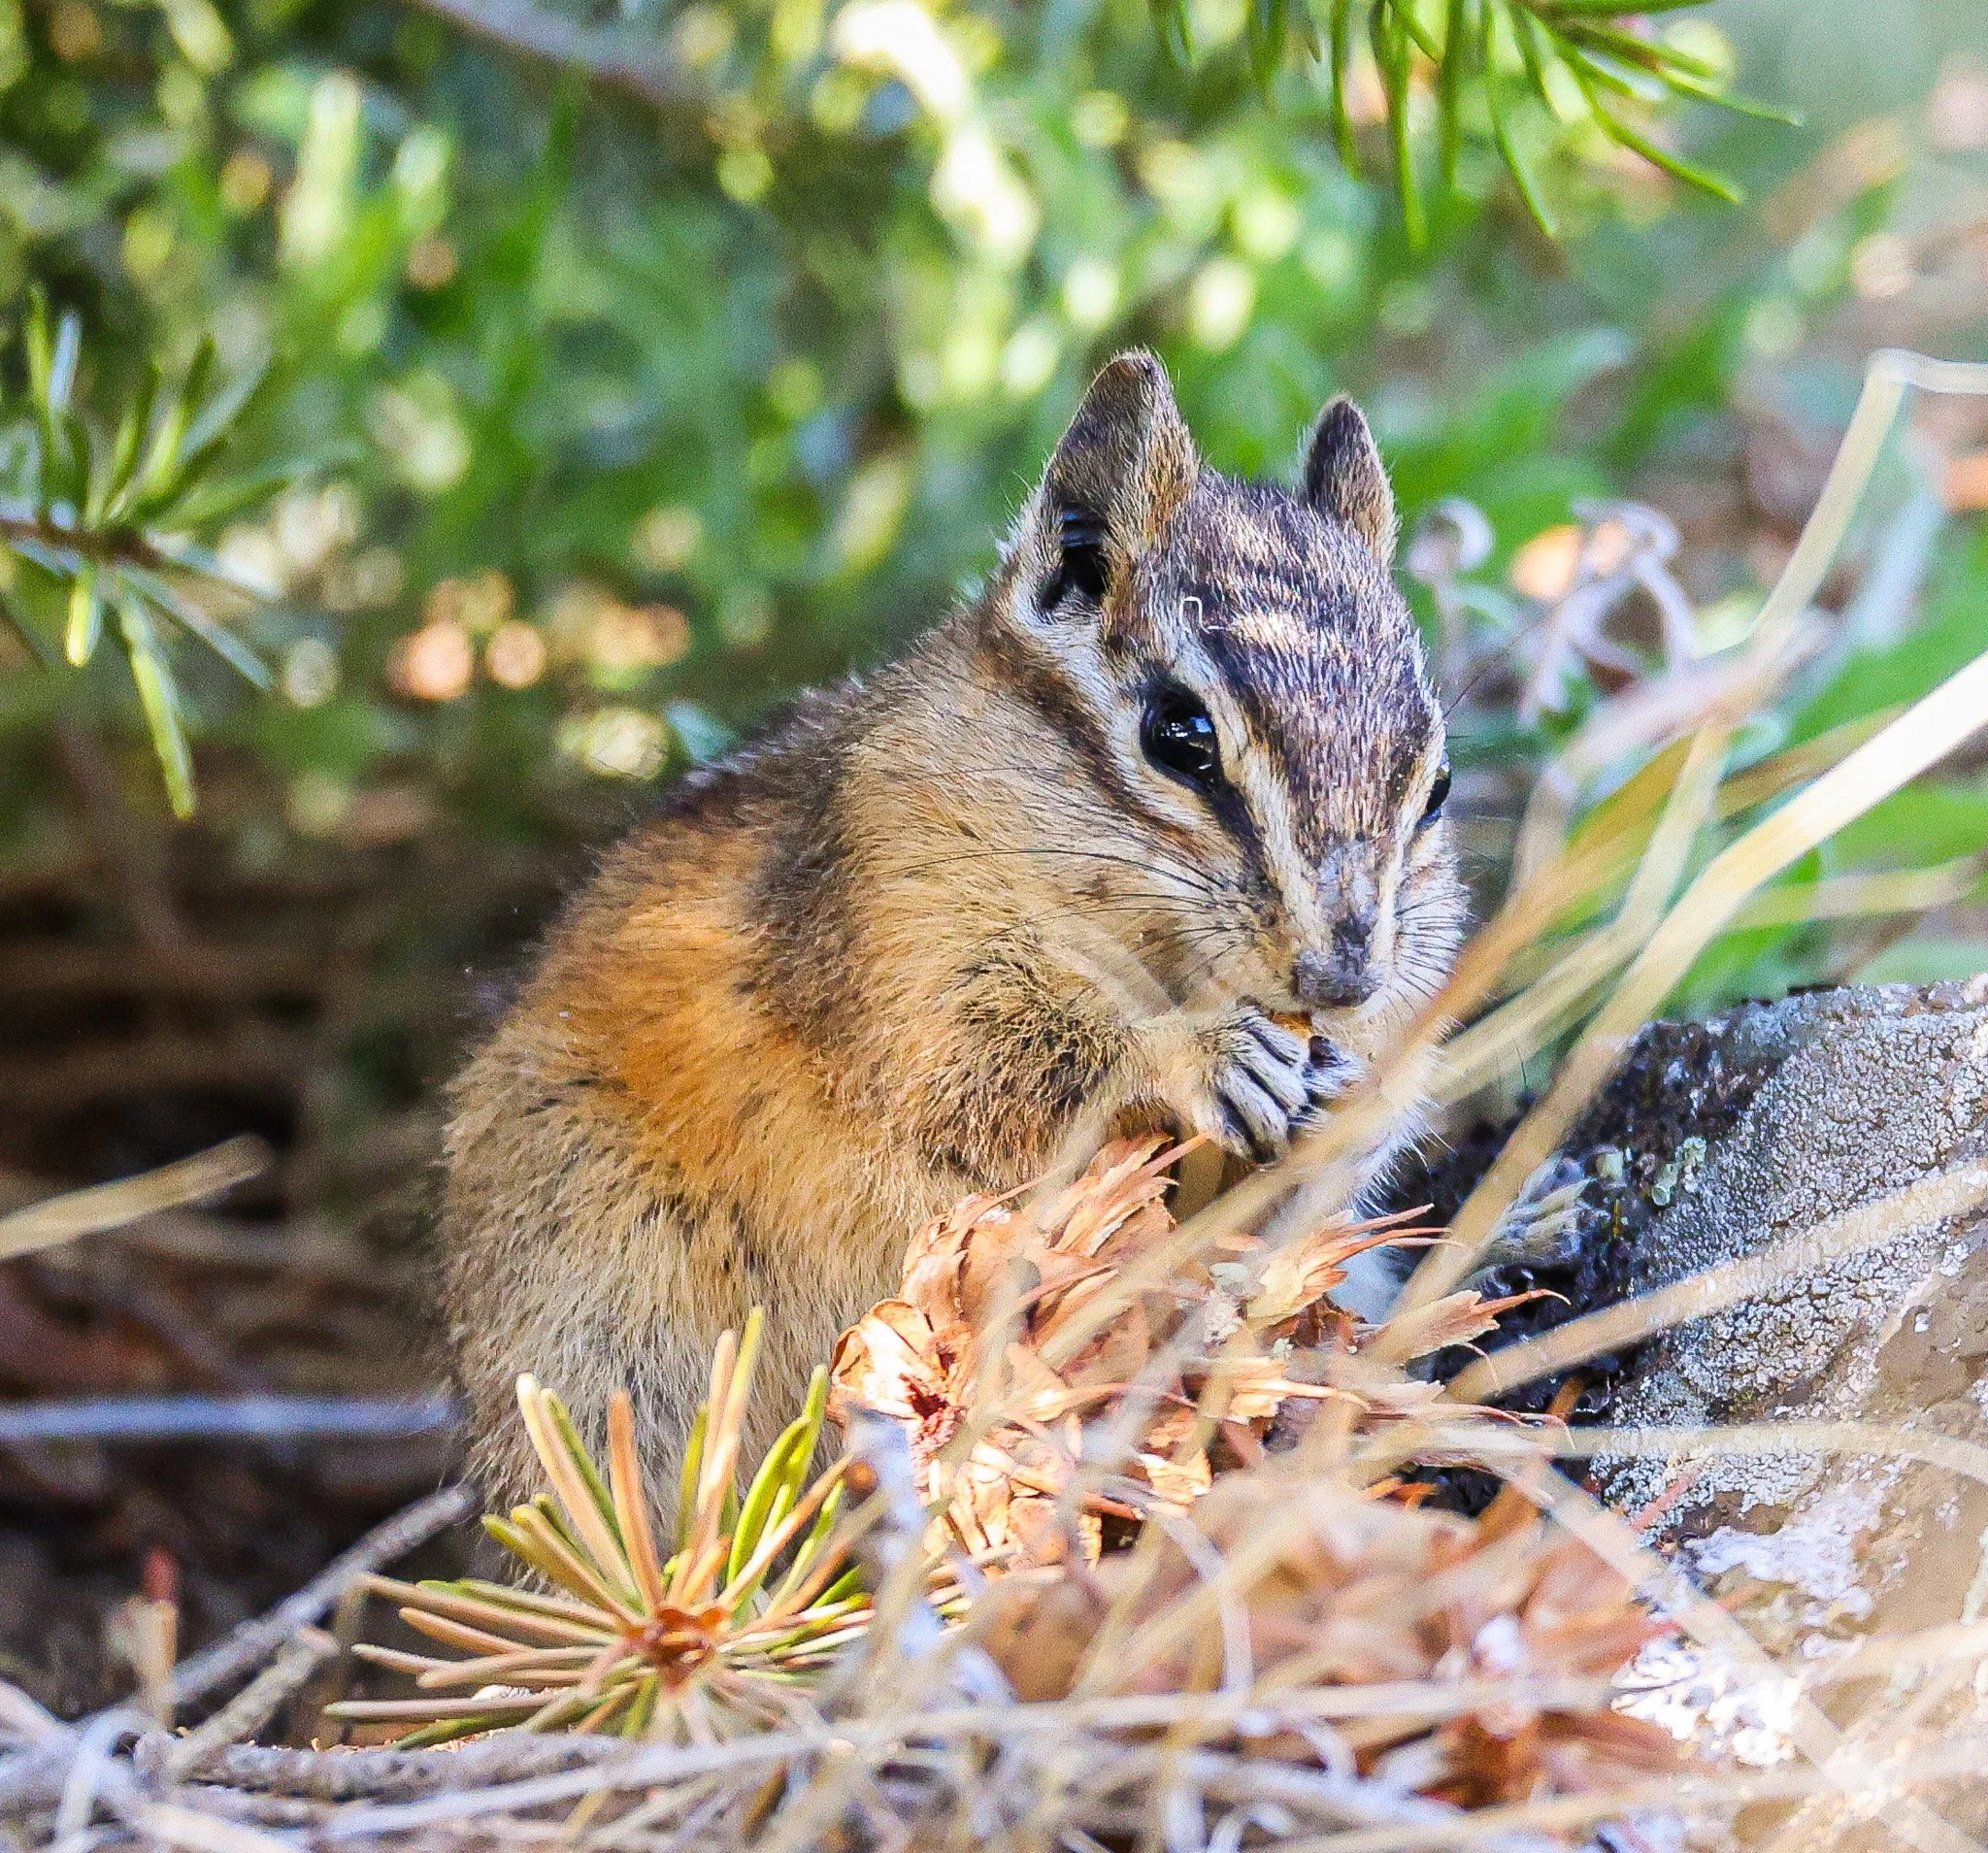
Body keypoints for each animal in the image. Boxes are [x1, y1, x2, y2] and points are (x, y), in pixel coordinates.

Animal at [438, 351, 1465, 1506]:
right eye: (1179, 735)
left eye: (1435, 788)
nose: (1339, 978)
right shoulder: (903, 942)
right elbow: (996, 1078)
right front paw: (1200, 1055)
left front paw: (1352, 1091)